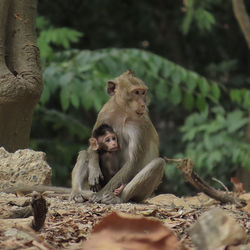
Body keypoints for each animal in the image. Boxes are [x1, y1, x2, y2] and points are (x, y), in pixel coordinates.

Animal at [70, 70, 166, 203]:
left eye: (143, 92)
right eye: (136, 92)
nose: (143, 105)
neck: (122, 112)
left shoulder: (140, 125)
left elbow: (134, 161)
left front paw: (100, 194)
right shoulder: (104, 114)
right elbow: (93, 145)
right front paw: (94, 168)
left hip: (143, 194)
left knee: (158, 163)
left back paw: (118, 198)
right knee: (84, 153)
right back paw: (77, 192)